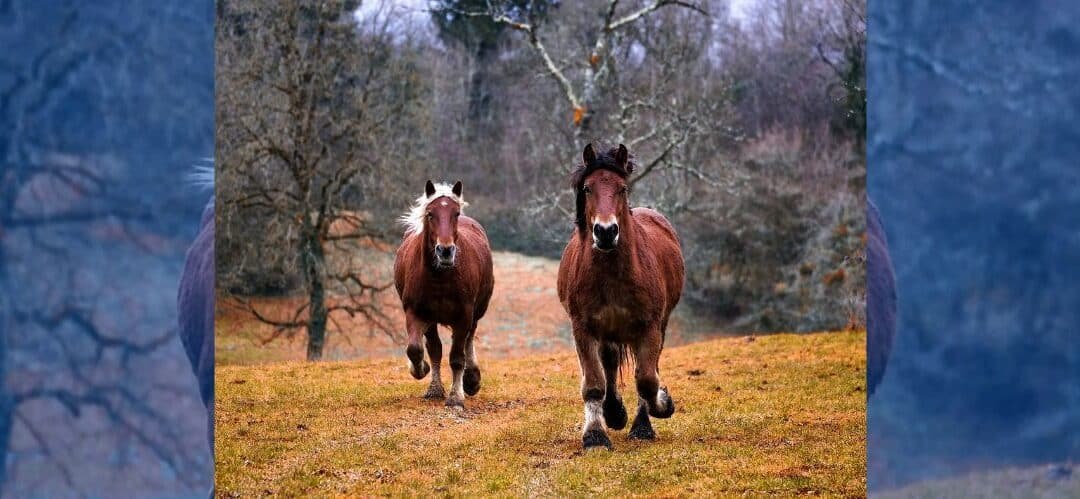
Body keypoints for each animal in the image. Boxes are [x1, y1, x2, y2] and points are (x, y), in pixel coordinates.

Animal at [393, 180, 494, 409]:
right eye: (430, 214)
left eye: (455, 213)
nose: (445, 251)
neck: (439, 277)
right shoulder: (415, 312)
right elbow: (416, 349)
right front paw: (421, 370)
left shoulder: (463, 315)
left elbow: (457, 357)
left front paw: (456, 396)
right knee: (435, 348)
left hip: (476, 312)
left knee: (469, 340)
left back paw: (471, 380)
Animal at [557, 144, 685, 450]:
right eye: (588, 188)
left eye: (622, 188)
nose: (605, 232)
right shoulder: (583, 328)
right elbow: (594, 383)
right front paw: (595, 435)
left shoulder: (649, 327)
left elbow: (647, 380)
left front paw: (660, 407)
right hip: (608, 332)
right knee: (610, 364)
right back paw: (613, 413)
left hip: (658, 326)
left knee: (645, 368)